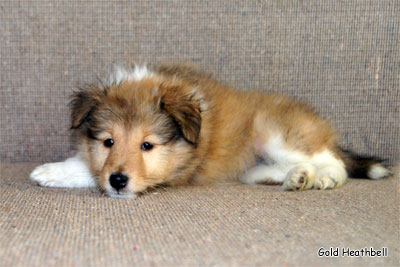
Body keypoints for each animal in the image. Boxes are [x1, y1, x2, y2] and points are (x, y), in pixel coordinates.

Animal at [28, 63, 390, 199]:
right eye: (108, 141)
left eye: (147, 145)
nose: (118, 180)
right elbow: (93, 166)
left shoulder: (176, 172)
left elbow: (88, 170)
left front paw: (52, 171)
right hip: (253, 163)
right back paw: (295, 177)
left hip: (273, 131)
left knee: (334, 161)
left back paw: (322, 177)